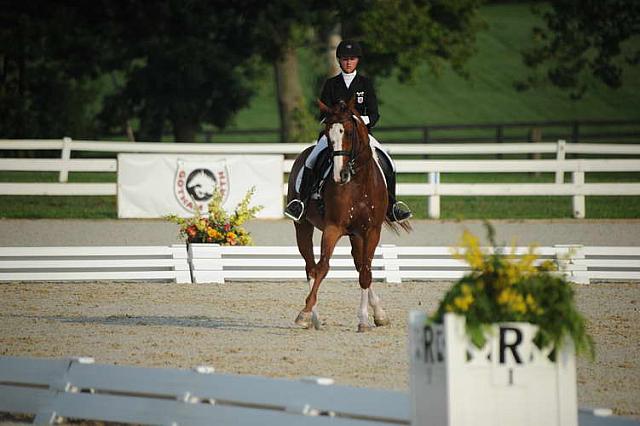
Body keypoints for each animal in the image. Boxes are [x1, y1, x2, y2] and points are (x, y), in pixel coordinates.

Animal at [288, 98, 412, 332]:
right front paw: (304, 313)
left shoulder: (371, 230)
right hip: (303, 226)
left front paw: (365, 319)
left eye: (349, 133)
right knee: (310, 267)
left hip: (356, 234)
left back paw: (379, 314)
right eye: (328, 134)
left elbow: (365, 272)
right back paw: (314, 318)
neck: (358, 183)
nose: (340, 175)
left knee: (360, 265)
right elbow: (322, 267)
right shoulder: (333, 228)